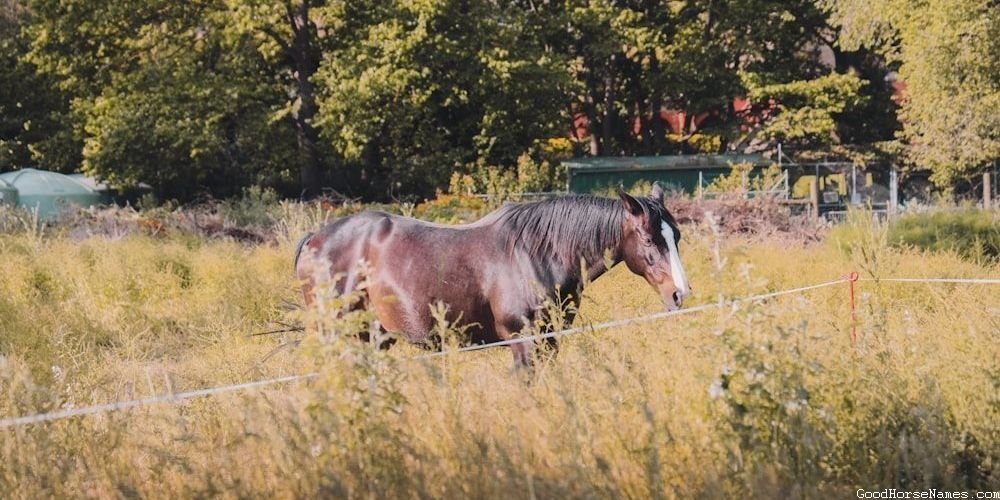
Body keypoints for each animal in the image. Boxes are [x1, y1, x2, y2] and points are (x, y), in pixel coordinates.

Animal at [292, 184, 692, 368]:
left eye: (676, 235)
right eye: (648, 239)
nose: (680, 294)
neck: (537, 254)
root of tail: (315, 239)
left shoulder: (550, 341)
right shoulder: (522, 341)